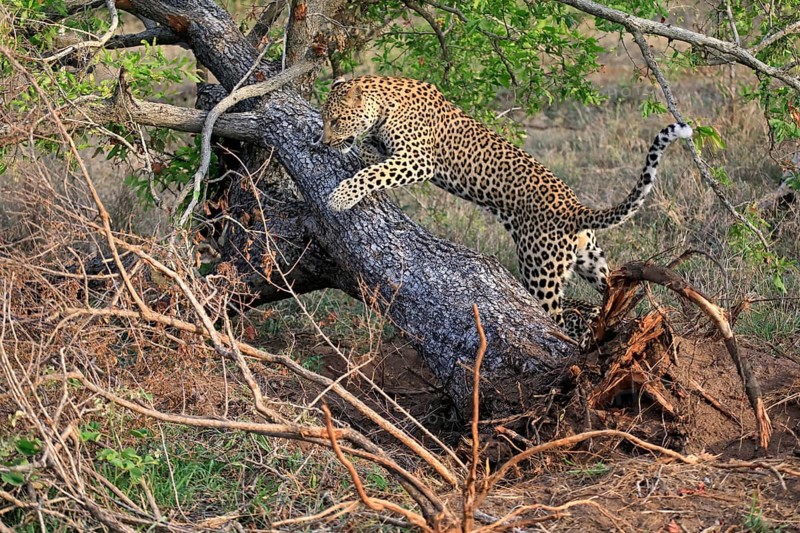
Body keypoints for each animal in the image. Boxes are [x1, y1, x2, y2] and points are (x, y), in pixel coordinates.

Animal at [319, 75, 692, 339]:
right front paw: (357, 154)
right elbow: (371, 154)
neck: (384, 101)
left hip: (540, 269)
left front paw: (340, 197)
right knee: (611, 289)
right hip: (590, 260)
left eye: (336, 120)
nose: (324, 142)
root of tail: (576, 208)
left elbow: (374, 173)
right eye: (325, 119)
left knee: (553, 317)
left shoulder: (419, 160)